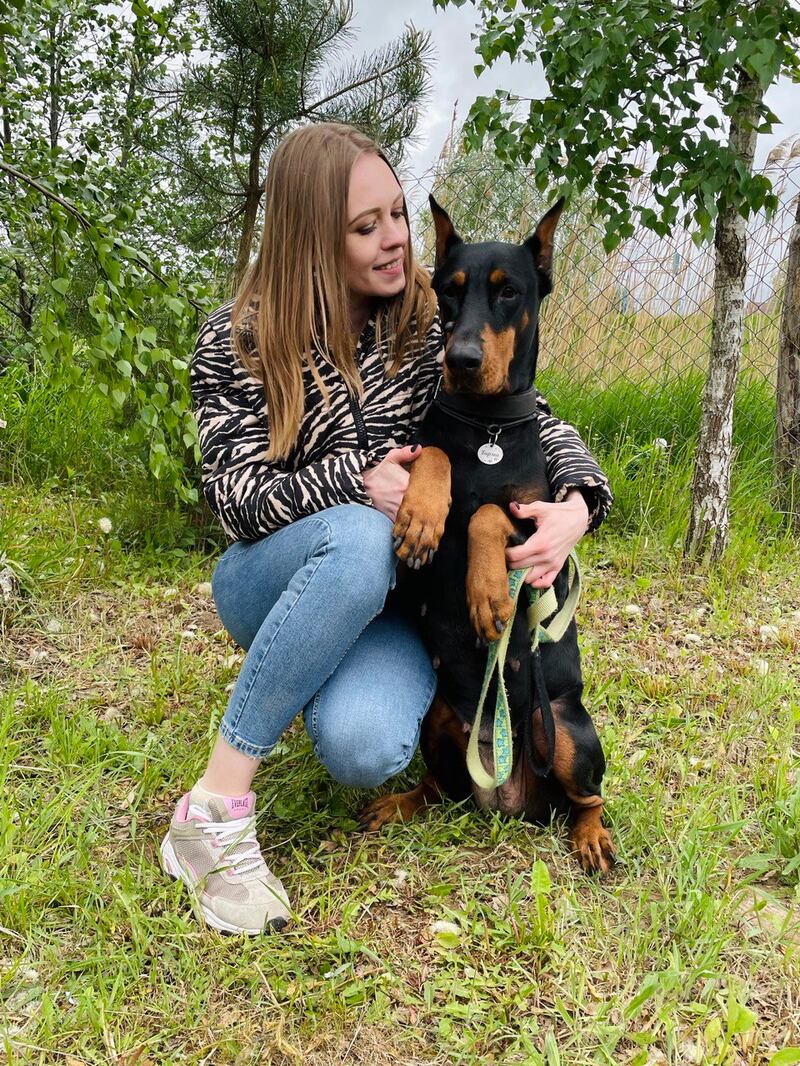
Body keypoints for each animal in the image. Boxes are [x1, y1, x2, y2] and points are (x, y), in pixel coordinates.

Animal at [360, 198, 618, 874]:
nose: (462, 361)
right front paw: (424, 515)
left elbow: (489, 515)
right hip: (436, 721)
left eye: (508, 292)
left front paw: (489, 597)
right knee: (439, 787)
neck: (487, 428)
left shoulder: (536, 516)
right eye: (449, 291)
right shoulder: (431, 460)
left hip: (566, 729)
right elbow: (434, 457)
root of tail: (509, 794)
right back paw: (399, 803)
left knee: (589, 796)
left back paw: (591, 837)